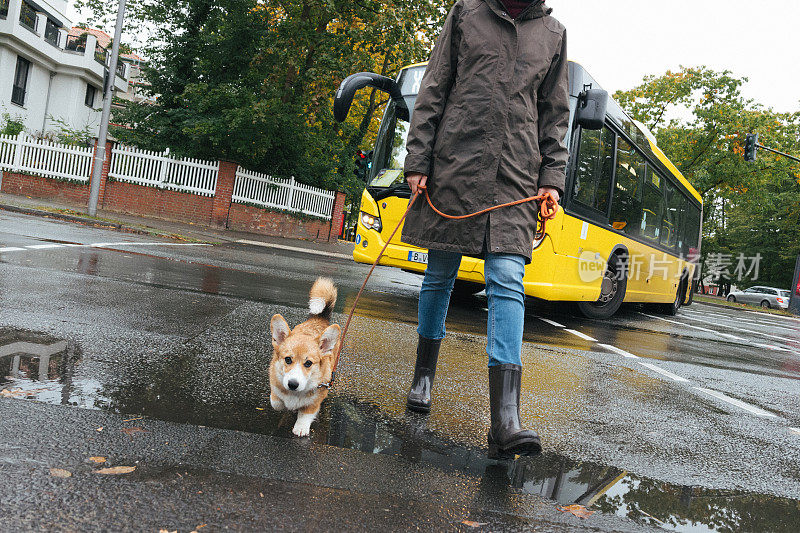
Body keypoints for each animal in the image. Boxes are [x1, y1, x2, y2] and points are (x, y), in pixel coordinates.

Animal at [272, 276, 340, 434]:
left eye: (308, 363)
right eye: (288, 359)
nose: (292, 384)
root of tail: (320, 317)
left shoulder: (316, 399)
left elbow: (306, 413)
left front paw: (301, 427)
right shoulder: (275, 386)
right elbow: (276, 402)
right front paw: (284, 405)